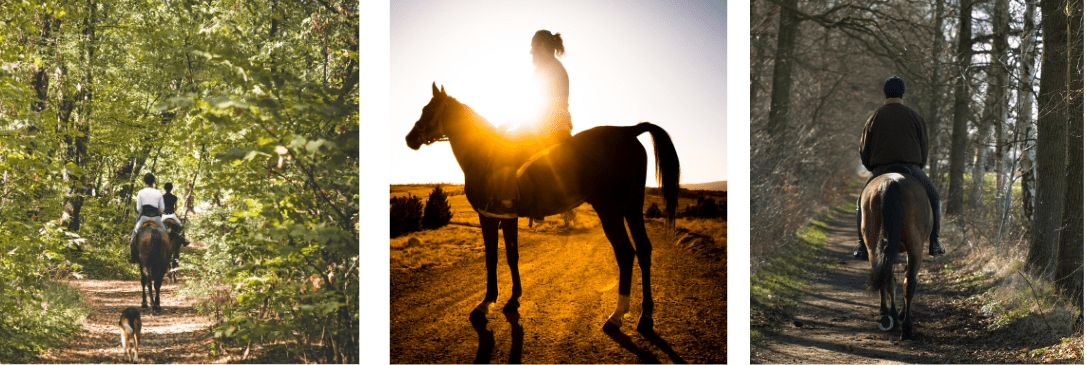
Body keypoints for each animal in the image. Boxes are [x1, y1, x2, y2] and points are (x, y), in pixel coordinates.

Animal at [408, 83, 677, 334]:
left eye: (428, 110)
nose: (409, 138)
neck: (483, 155)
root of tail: (628, 130)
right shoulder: (508, 217)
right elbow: (512, 255)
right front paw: (513, 298)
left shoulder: (488, 216)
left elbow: (492, 257)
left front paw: (486, 302)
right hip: (632, 206)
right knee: (644, 250)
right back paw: (645, 316)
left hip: (609, 209)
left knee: (626, 253)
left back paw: (617, 314)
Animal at [855, 165, 933, 338]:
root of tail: (889, 182)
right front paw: (904, 315)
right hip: (915, 247)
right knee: (909, 283)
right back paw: (906, 326)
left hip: (873, 247)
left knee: (886, 277)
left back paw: (887, 315)